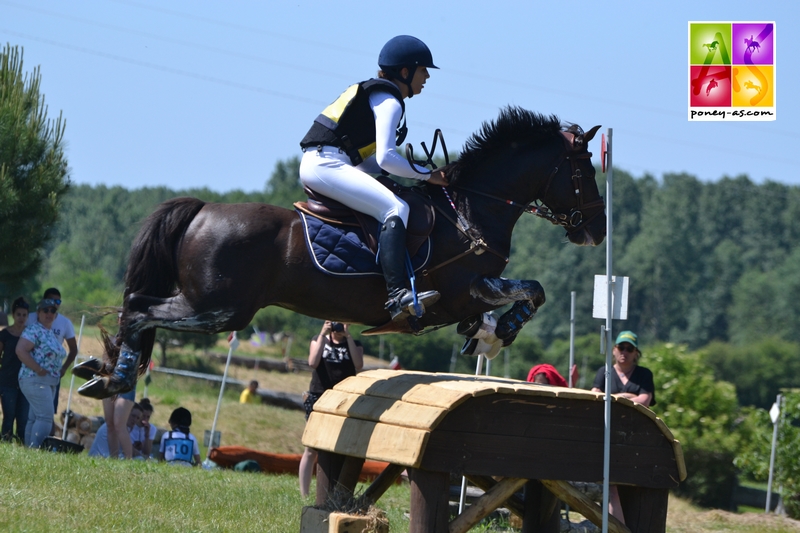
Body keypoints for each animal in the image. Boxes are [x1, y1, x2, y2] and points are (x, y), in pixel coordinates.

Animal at [76, 107, 608, 400]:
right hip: (219, 309)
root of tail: (203, 208)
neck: (473, 208)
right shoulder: (466, 289)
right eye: (584, 170)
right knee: (140, 309)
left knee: (137, 307)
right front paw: (503, 331)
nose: (599, 230)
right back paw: (115, 377)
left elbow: (521, 296)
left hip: (212, 307)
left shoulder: (473, 295)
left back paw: (99, 372)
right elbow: (532, 290)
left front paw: (487, 337)